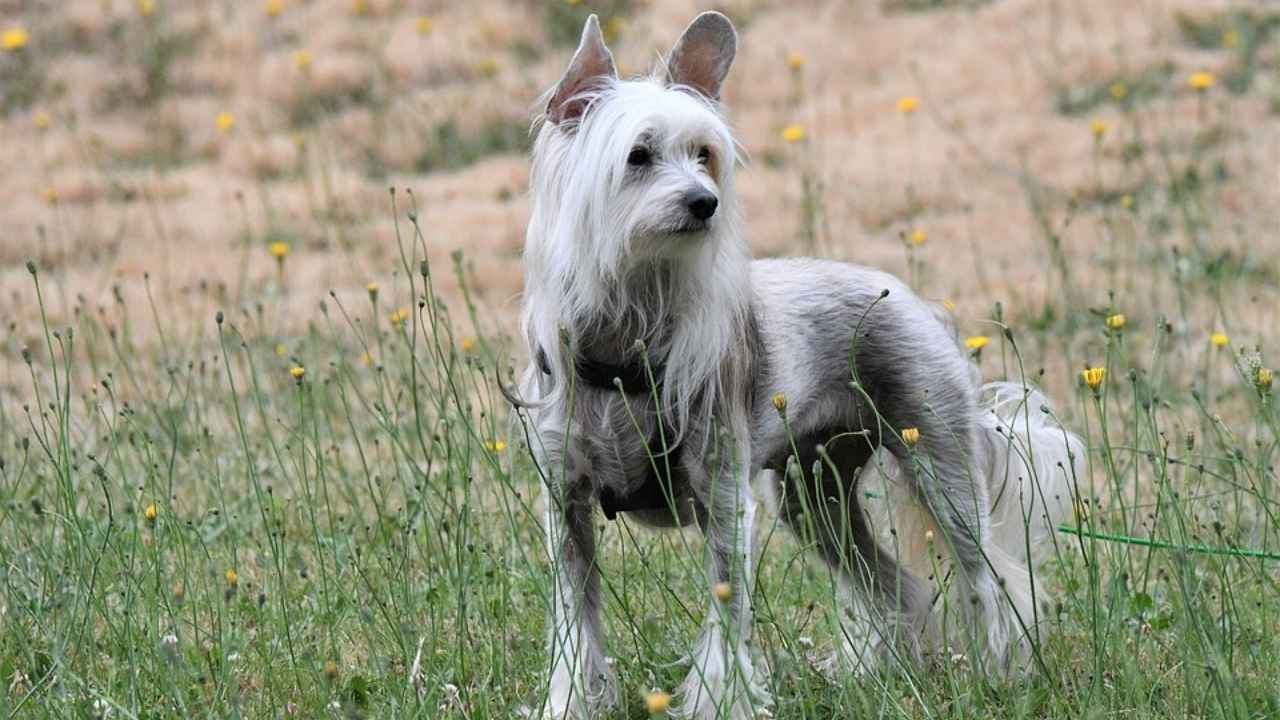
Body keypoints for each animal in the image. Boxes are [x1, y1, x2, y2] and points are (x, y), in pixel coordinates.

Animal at [509, 12, 1080, 717]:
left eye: (705, 155)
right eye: (638, 156)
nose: (704, 203)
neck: (625, 344)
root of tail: (918, 303)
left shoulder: (726, 501)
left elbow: (726, 623)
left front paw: (721, 702)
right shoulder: (568, 507)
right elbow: (575, 624)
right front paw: (568, 703)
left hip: (938, 471)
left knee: (996, 581)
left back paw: (1006, 675)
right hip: (814, 497)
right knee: (893, 586)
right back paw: (884, 671)